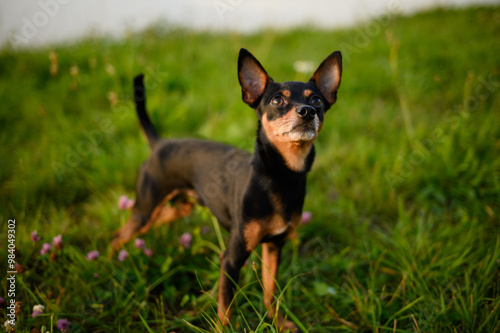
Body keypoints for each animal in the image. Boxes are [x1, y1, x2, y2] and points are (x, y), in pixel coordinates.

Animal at [111, 48, 342, 330]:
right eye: (277, 101)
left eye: (317, 100)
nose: (307, 111)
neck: (280, 177)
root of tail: (159, 144)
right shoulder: (231, 259)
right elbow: (226, 308)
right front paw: (225, 328)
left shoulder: (274, 246)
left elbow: (270, 291)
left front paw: (277, 322)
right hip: (146, 208)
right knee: (118, 236)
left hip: (178, 208)